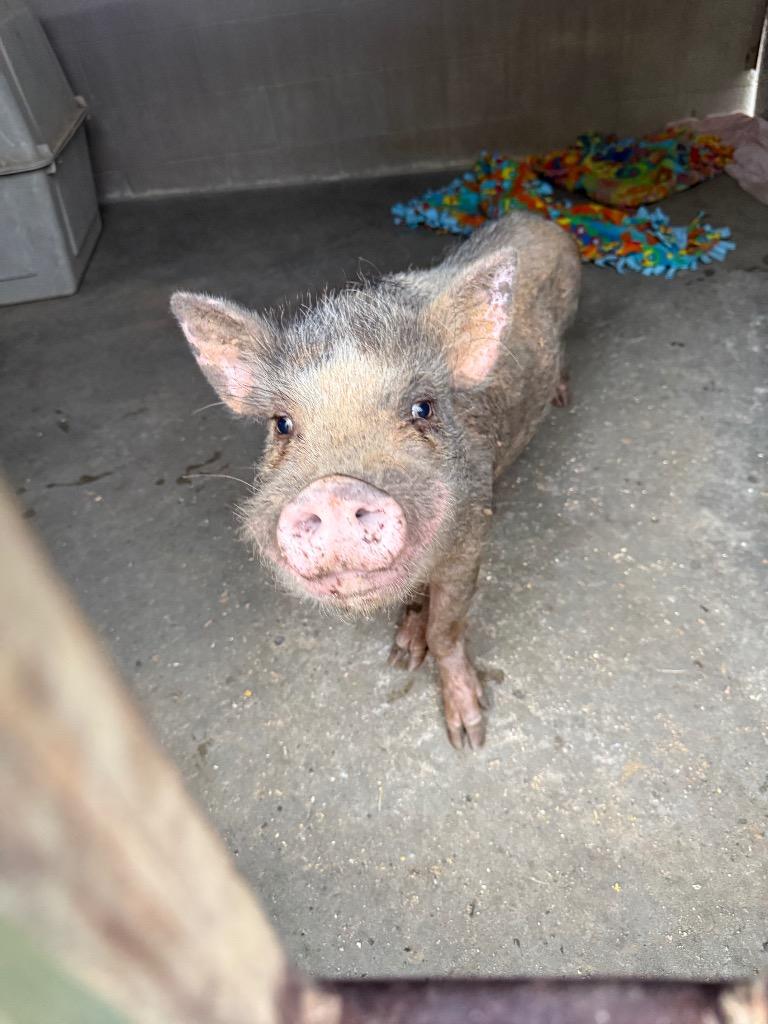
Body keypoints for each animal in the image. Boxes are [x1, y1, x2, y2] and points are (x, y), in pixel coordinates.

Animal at [171, 212, 580, 749]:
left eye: (422, 408)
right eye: (281, 423)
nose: (333, 491)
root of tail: (533, 216)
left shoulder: (473, 537)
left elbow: (447, 629)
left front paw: (469, 736)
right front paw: (402, 655)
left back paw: (561, 398)